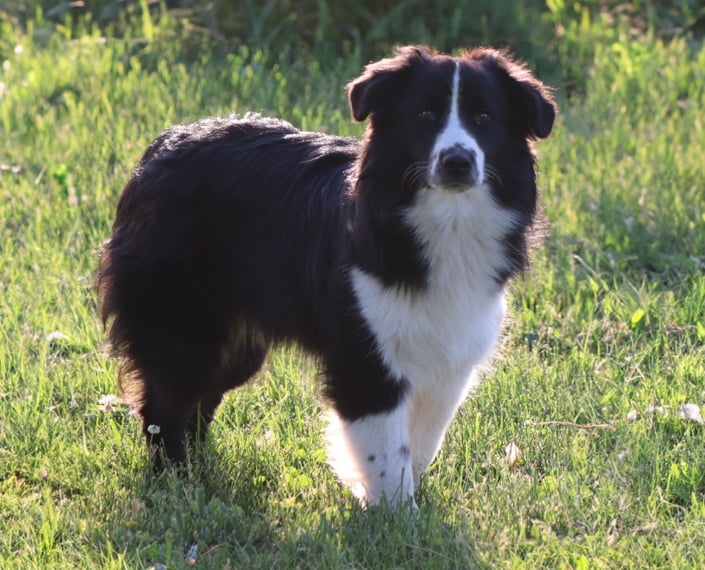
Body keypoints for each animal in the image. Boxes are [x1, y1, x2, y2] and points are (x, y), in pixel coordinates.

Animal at [97, 45, 556, 506]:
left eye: (484, 117)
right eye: (425, 114)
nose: (457, 162)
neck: (447, 220)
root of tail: (160, 148)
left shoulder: (450, 352)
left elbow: (422, 442)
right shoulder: (363, 352)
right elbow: (387, 452)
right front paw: (395, 514)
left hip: (237, 341)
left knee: (201, 398)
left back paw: (201, 471)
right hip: (184, 317)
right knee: (166, 402)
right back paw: (175, 481)